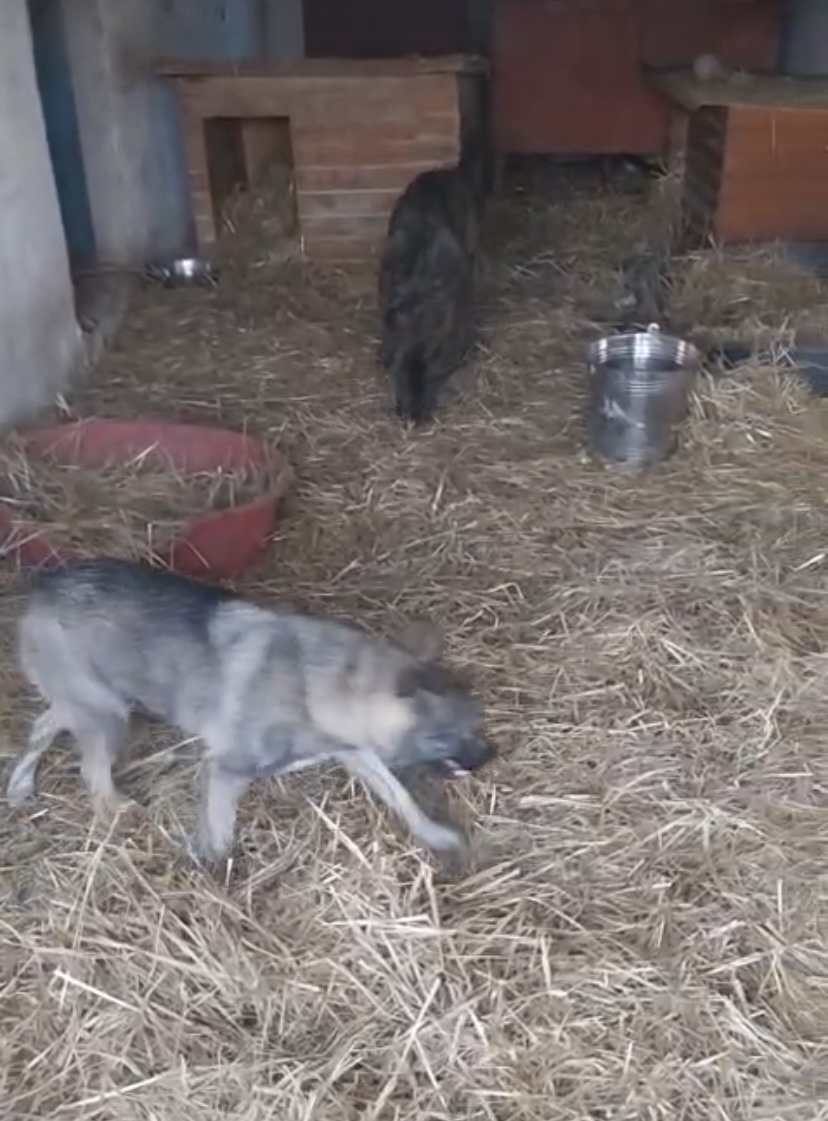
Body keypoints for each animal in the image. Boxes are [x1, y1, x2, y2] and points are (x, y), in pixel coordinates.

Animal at [5, 557, 494, 863]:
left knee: (43, 724)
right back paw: (112, 810)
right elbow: (220, 838)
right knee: (91, 773)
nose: (491, 757)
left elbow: (401, 796)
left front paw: (434, 834)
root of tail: (45, 583)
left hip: (99, 700)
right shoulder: (227, 771)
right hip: (106, 714)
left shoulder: (356, 752)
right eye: (454, 735)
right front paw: (212, 880)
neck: (321, 684)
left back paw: (19, 784)